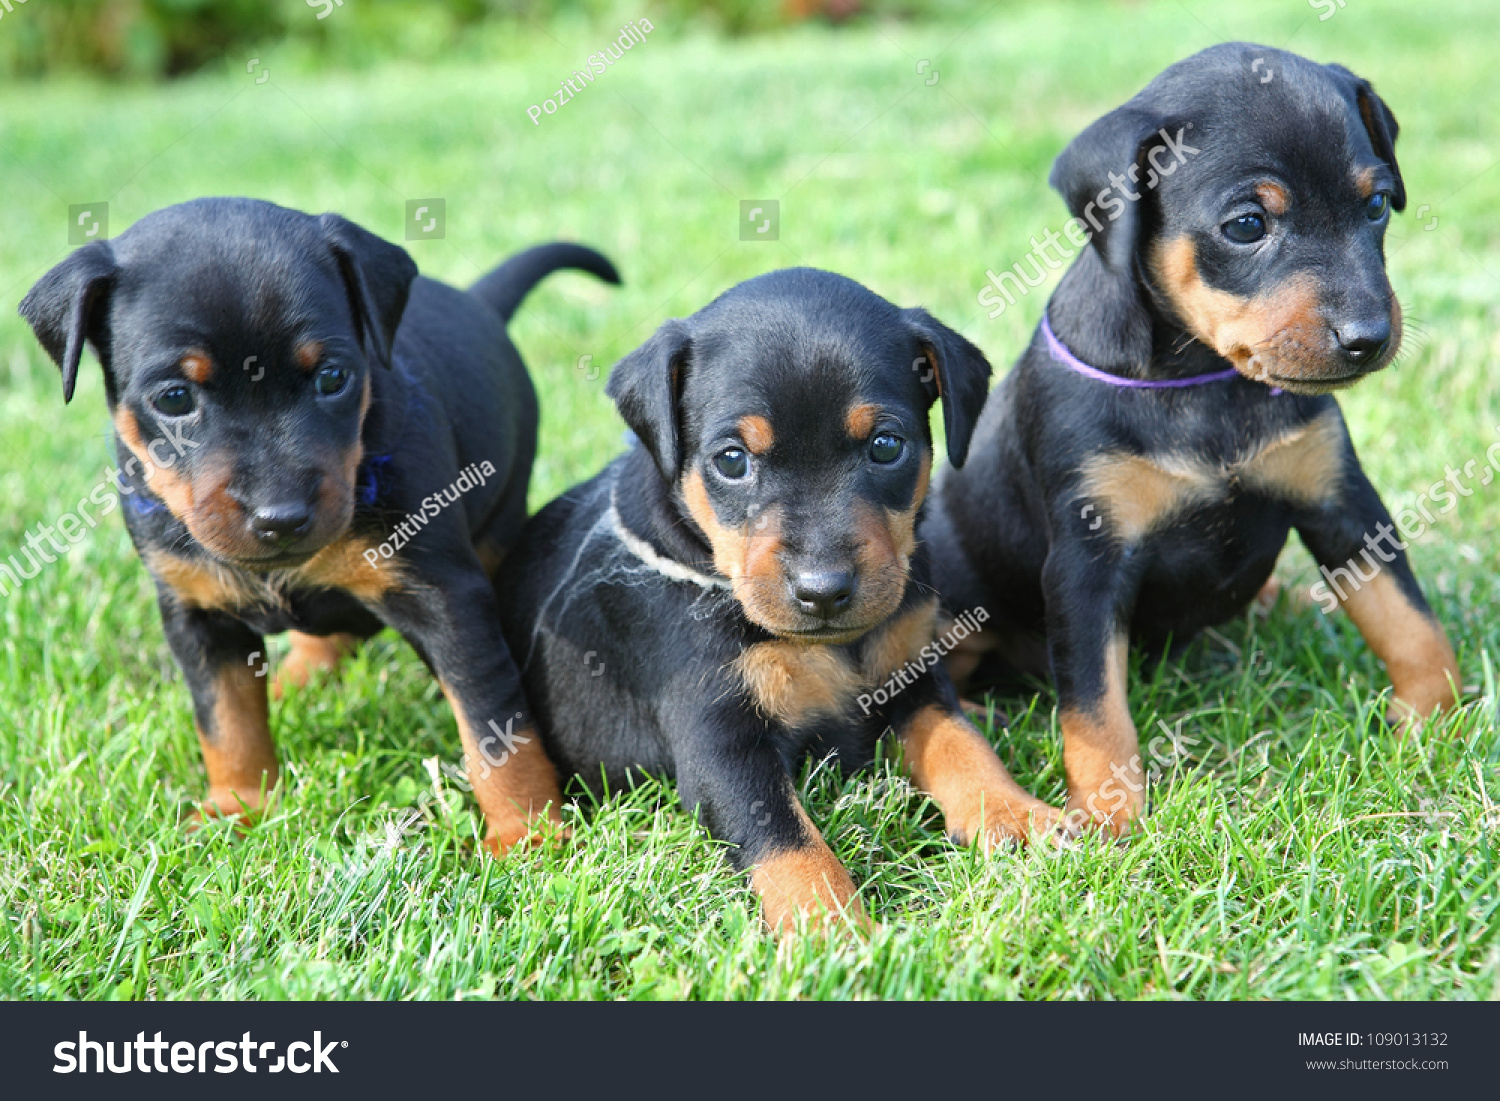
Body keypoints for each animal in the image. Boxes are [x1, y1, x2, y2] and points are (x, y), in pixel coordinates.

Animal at [19, 198, 615, 852]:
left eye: (332, 378)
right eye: (174, 398)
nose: (281, 517)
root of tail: (476, 300)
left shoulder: (447, 598)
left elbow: (496, 728)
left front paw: (528, 836)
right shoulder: (194, 612)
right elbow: (227, 720)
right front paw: (236, 807)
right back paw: (291, 684)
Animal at [498, 271, 1062, 936]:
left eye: (886, 445)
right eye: (731, 459)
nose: (823, 590)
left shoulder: (912, 676)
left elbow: (960, 743)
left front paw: (1017, 814)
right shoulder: (719, 741)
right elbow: (786, 839)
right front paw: (834, 928)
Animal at [930, 40, 1458, 834]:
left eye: (1374, 206)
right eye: (1246, 225)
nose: (1369, 337)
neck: (1201, 381)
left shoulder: (1342, 502)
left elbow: (1407, 616)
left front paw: (1437, 719)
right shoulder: (1087, 560)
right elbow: (1094, 707)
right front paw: (1111, 820)